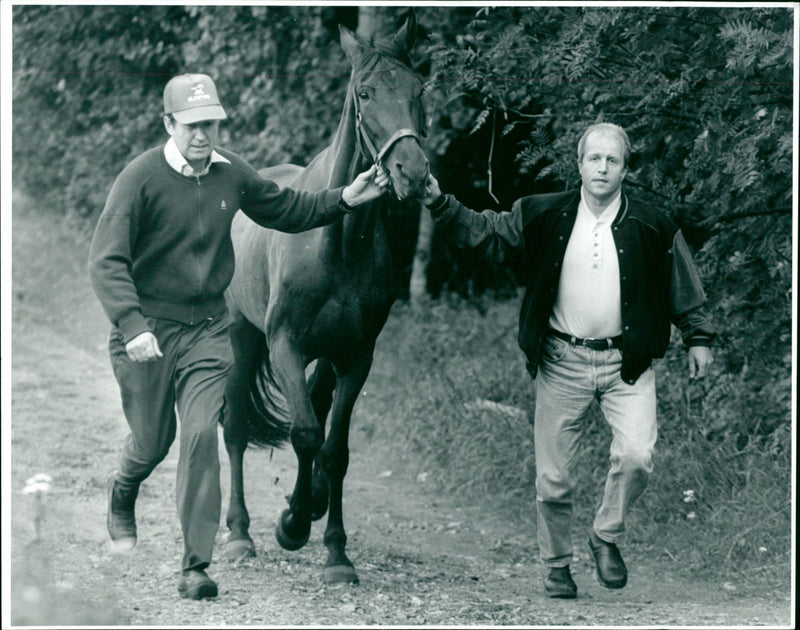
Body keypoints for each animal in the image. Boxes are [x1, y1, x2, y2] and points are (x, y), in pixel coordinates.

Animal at [219, 13, 432, 588]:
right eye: (365, 92)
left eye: (419, 91)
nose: (412, 174)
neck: (336, 242)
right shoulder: (285, 346)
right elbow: (306, 434)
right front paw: (292, 525)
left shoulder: (355, 356)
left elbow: (334, 450)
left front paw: (335, 550)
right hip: (244, 338)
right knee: (236, 427)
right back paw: (240, 532)